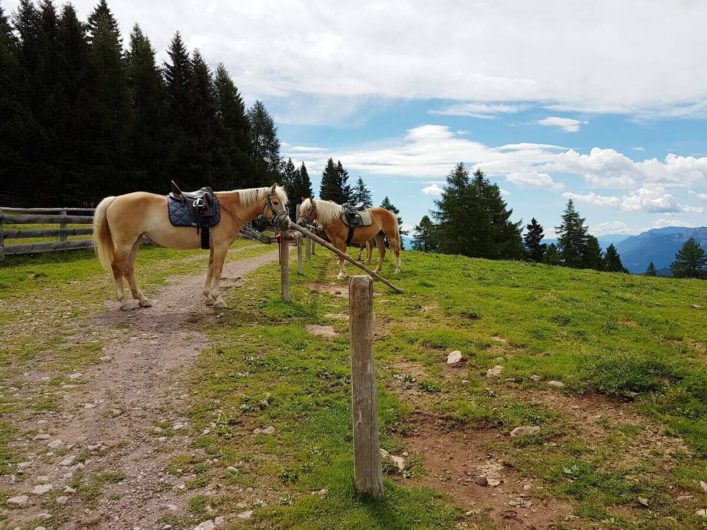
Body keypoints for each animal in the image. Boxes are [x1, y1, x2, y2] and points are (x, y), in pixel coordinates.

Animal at [93, 184, 288, 308]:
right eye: (275, 202)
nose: (287, 222)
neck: (228, 209)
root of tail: (115, 200)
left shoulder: (214, 247)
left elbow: (210, 268)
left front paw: (208, 297)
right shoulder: (222, 246)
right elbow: (218, 270)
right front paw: (218, 299)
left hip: (135, 242)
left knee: (128, 268)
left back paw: (142, 299)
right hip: (125, 243)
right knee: (117, 267)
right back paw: (124, 301)